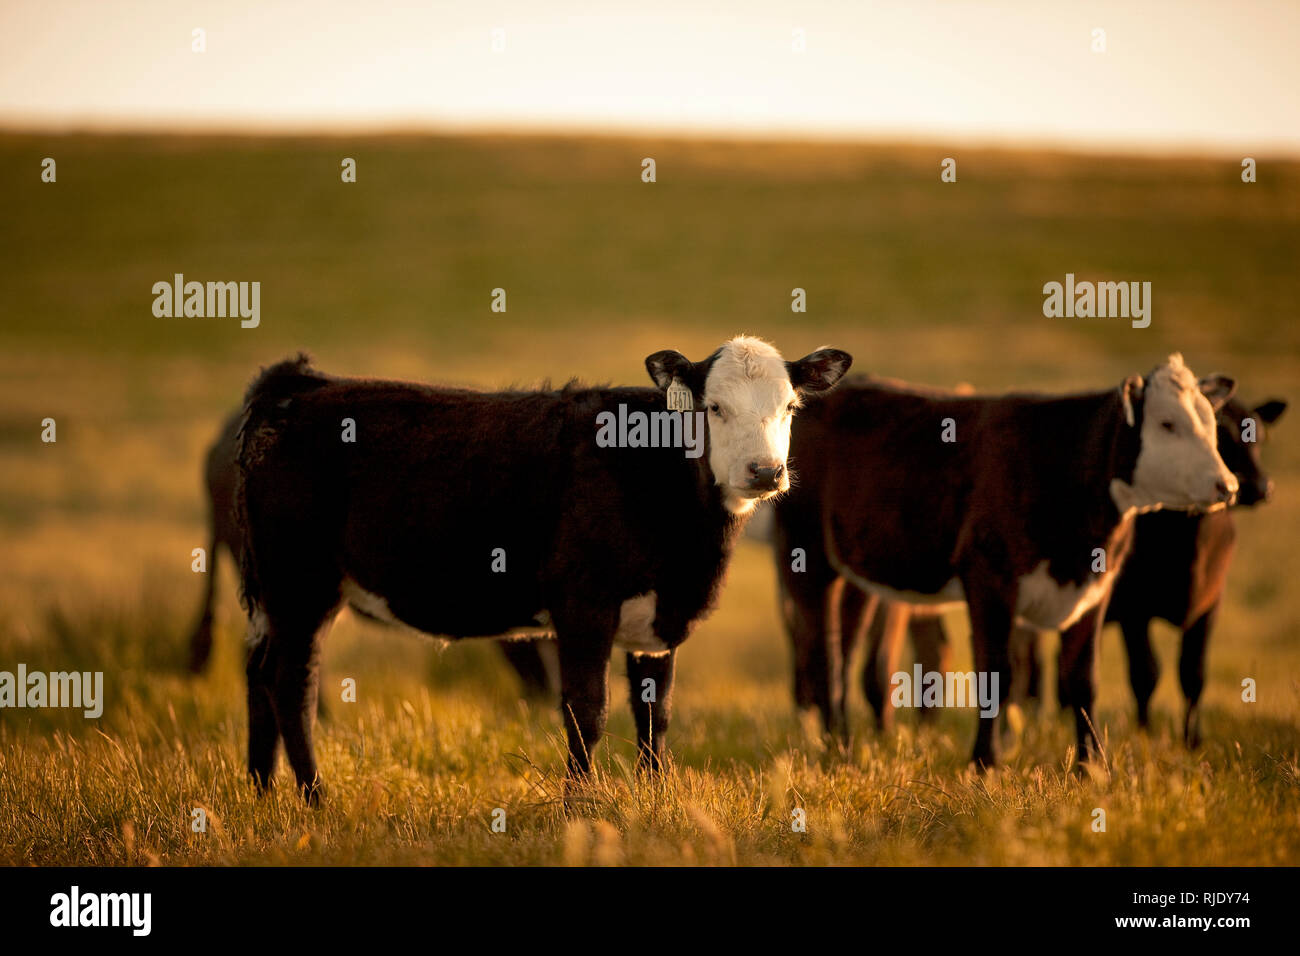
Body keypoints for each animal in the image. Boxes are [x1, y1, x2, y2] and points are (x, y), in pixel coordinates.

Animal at [769, 356, 1237, 764]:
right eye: (1167, 424)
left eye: (1211, 423)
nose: (1227, 485)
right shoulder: (989, 578)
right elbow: (997, 675)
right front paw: (985, 762)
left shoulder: (1096, 589)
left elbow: (1084, 680)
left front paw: (1093, 768)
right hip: (805, 555)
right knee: (822, 653)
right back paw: (836, 749)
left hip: (856, 572)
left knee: (844, 650)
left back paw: (842, 742)